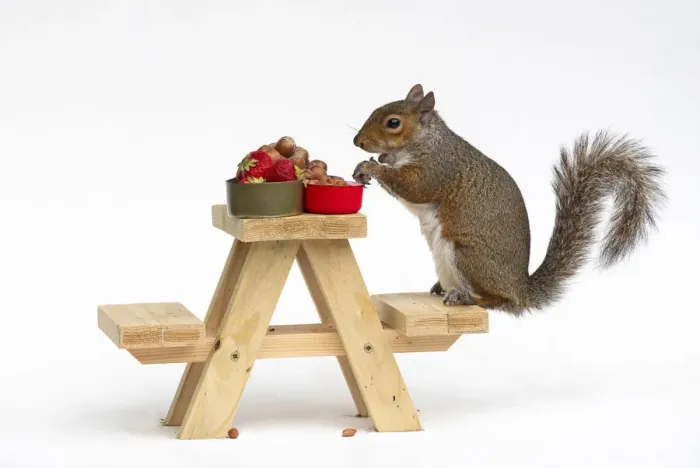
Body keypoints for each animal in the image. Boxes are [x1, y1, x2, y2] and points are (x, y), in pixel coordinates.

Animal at [352, 84, 666, 316]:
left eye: (393, 123)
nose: (358, 142)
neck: (426, 140)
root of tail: (519, 287)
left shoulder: (438, 169)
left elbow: (413, 188)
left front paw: (372, 167)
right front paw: (368, 166)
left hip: (467, 257)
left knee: (498, 300)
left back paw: (467, 298)